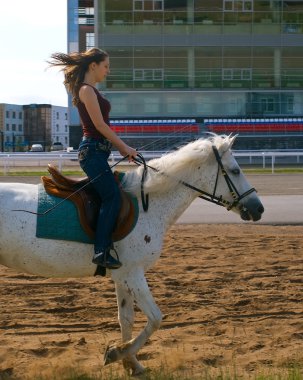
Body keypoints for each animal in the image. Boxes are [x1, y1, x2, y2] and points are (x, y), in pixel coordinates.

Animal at [0, 135, 264, 376]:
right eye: (235, 170)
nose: (259, 208)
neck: (149, 201)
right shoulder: (134, 274)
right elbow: (156, 318)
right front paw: (116, 353)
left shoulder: (122, 276)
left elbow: (126, 318)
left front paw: (131, 363)